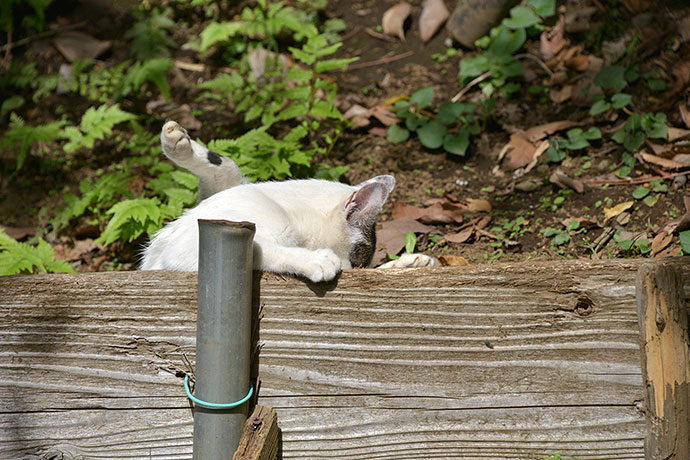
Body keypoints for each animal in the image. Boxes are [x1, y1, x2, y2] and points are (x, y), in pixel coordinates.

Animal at [141, 120, 436, 282]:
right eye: (358, 263)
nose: (356, 269)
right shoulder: (197, 244)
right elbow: (258, 248)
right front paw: (315, 260)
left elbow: (226, 166)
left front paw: (406, 263)